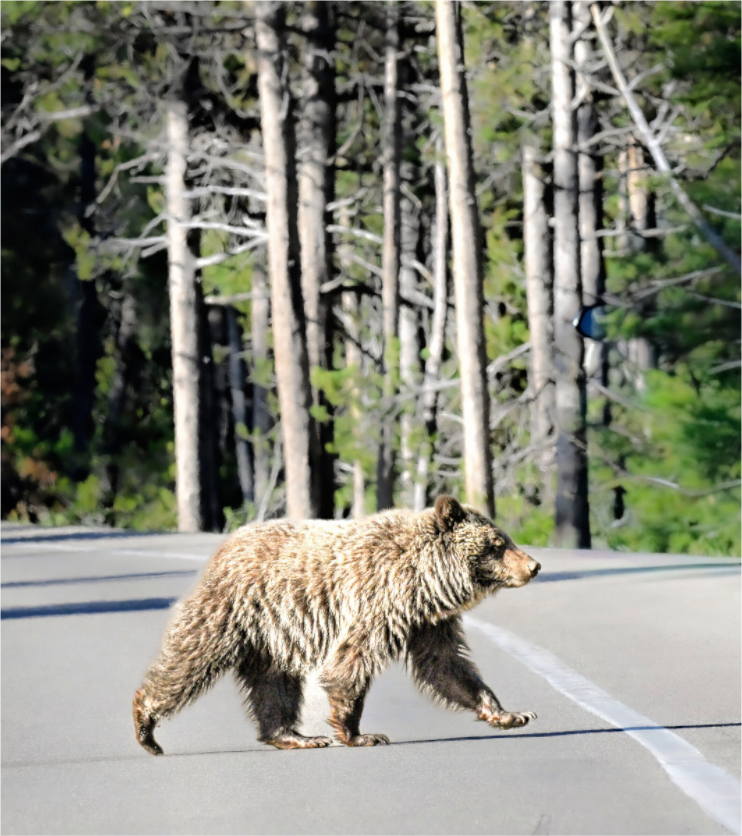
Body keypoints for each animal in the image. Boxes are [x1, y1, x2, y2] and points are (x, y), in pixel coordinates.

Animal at [133, 495, 541, 754]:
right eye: (498, 542)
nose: (534, 565)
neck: (424, 581)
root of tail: (224, 546)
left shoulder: (426, 622)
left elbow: (448, 667)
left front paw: (512, 713)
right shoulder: (377, 602)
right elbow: (352, 662)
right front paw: (359, 733)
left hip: (271, 638)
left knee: (274, 686)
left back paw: (295, 736)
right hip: (232, 610)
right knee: (189, 659)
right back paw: (145, 724)